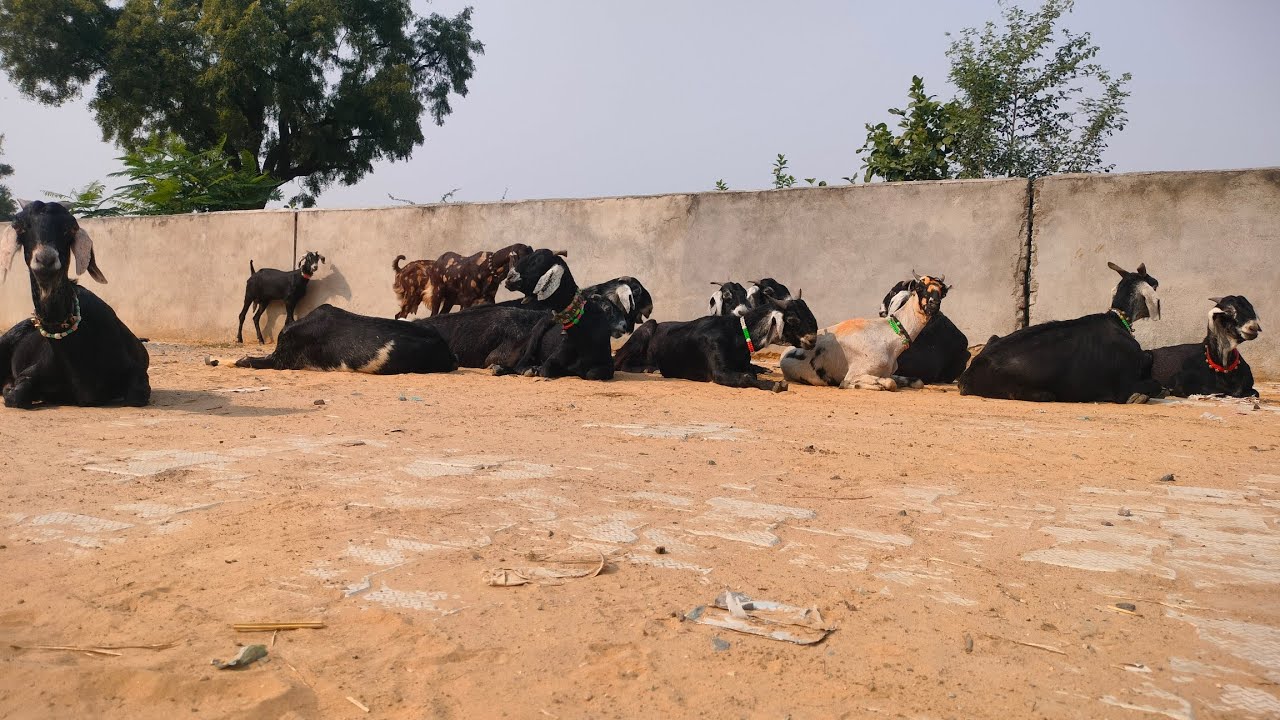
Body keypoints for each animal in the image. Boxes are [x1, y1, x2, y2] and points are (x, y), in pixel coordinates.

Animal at [0, 200, 150, 408]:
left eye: (70, 228)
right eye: (20, 226)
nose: (45, 259)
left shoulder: (137, 370)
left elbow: (137, 395)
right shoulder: (29, 372)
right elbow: (17, 395)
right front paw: (9, 389)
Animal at [614, 296, 818, 392]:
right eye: (792, 319)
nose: (812, 340)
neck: (736, 334)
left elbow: (750, 371)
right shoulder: (719, 372)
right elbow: (746, 377)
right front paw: (774, 385)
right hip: (647, 327)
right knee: (619, 361)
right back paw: (650, 368)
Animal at [781, 274, 948, 390]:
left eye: (942, 291)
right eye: (920, 288)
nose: (933, 304)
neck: (887, 336)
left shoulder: (888, 372)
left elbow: (917, 382)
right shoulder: (856, 373)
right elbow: (889, 383)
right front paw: (853, 385)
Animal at [958, 262, 1165, 403]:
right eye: (1153, 283)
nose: (1157, 280)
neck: (1117, 318)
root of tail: (971, 371)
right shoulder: (1124, 387)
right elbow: (1154, 381)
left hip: (993, 337)